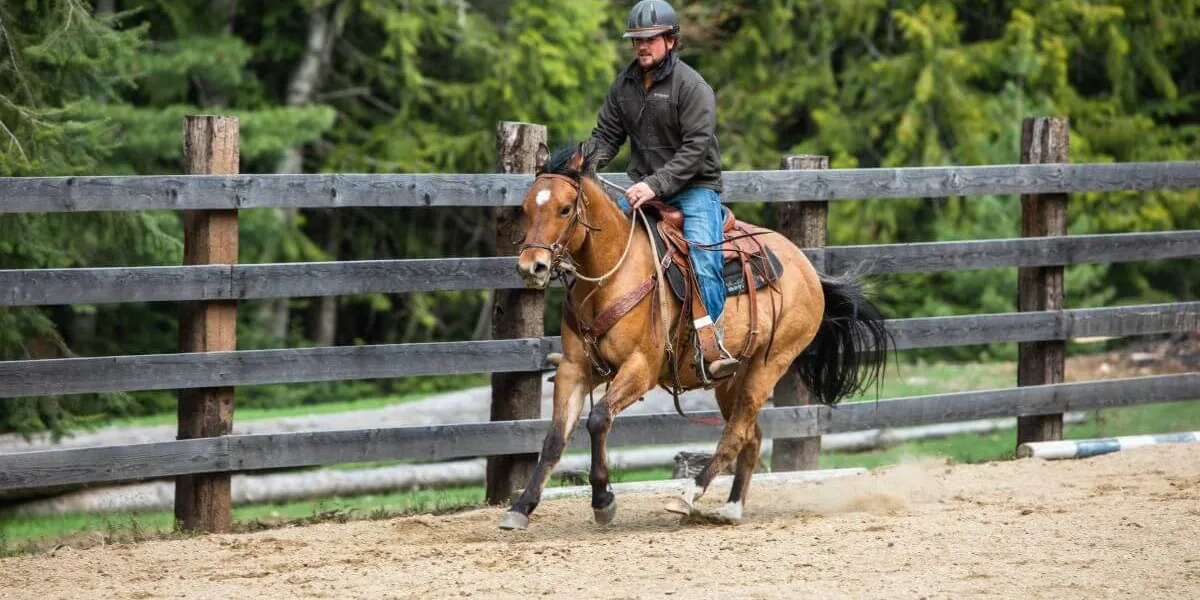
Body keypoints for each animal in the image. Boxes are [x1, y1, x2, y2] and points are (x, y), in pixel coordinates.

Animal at [497, 142, 889, 530]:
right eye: (526, 208)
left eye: (565, 209)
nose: (531, 266)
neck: (611, 276)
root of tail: (807, 269)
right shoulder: (575, 369)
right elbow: (554, 438)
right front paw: (522, 507)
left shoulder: (640, 369)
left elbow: (598, 419)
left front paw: (603, 499)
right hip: (731, 379)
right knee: (751, 436)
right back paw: (730, 509)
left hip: (769, 365)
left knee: (735, 434)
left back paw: (687, 495)